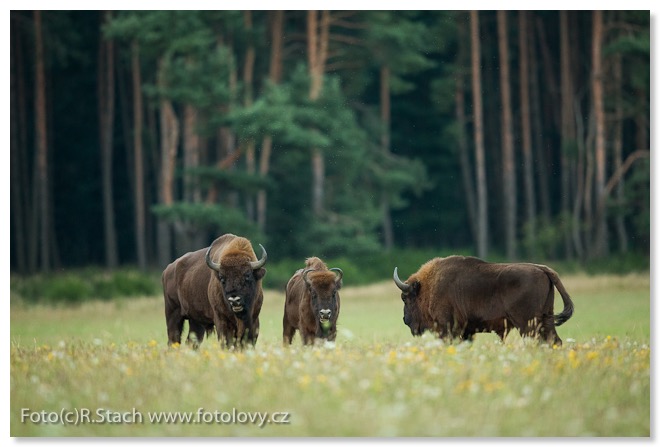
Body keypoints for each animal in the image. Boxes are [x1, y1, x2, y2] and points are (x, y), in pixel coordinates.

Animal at [394, 256, 576, 346]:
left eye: (405, 298)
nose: (405, 319)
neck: (429, 285)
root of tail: (543, 269)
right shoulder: (466, 331)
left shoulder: (447, 328)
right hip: (546, 319)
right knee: (554, 341)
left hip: (527, 323)